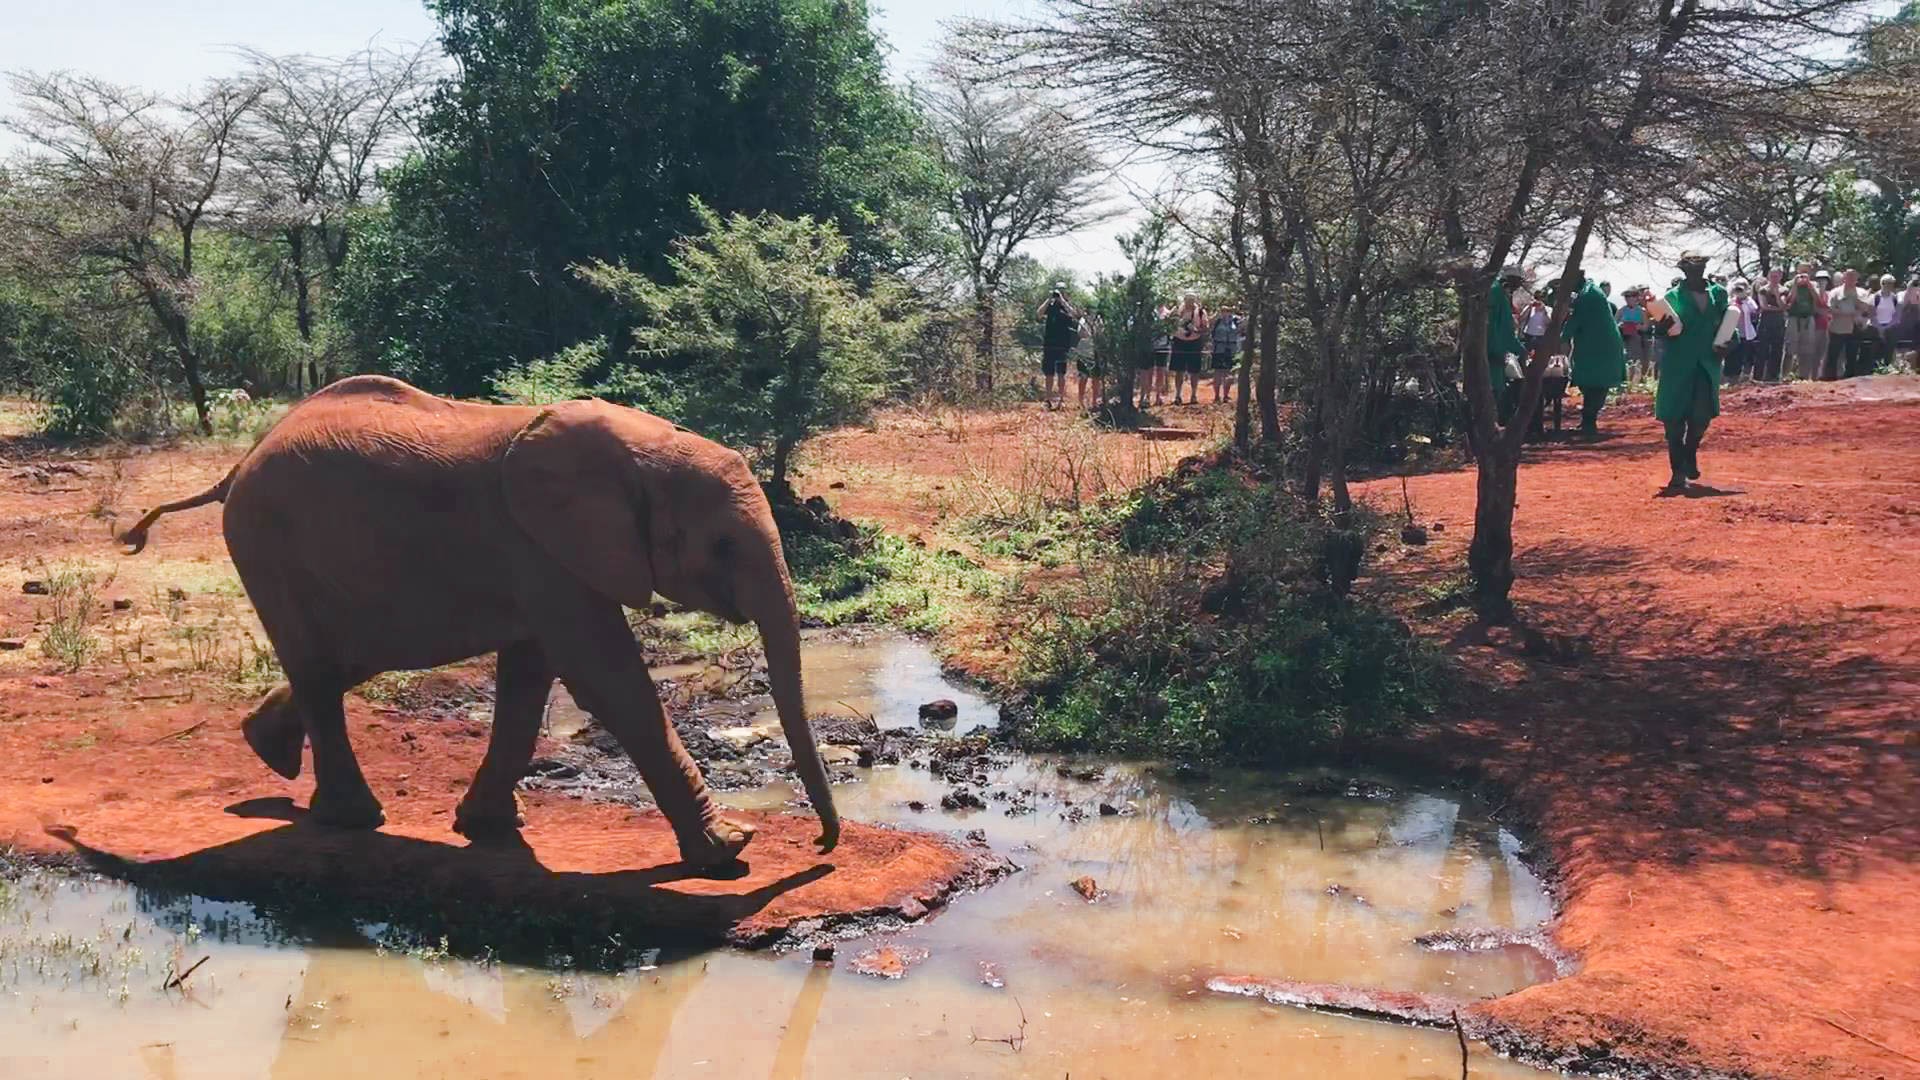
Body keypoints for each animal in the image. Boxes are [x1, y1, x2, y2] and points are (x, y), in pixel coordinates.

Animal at [120, 374, 837, 860]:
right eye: (721, 546)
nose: (821, 846)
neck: (642, 445)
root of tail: (238, 463)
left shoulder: (548, 557)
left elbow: (530, 677)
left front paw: (487, 828)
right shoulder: (544, 549)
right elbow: (606, 680)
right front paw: (730, 849)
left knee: (340, 658)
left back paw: (268, 753)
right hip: (267, 538)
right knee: (321, 668)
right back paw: (354, 819)